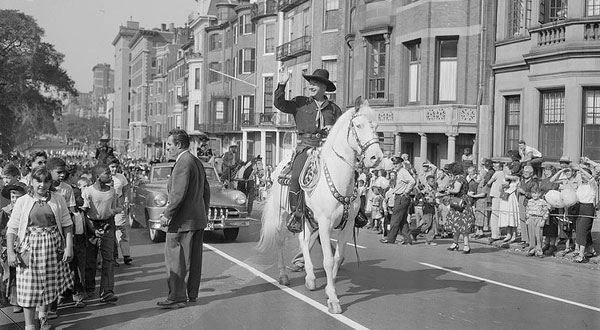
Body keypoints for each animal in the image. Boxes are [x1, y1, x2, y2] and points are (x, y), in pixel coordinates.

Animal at [255, 96, 382, 314]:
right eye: (358, 125)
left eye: (375, 126)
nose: (376, 157)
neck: (339, 179)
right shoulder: (324, 223)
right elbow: (328, 260)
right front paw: (334, 300)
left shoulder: (347, 225)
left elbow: (338, 257)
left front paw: (328, 290)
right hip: (283, 214)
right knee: (281, 240)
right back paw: (283, 275)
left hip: (306, 217)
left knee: (303, 241)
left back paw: (310, 278)